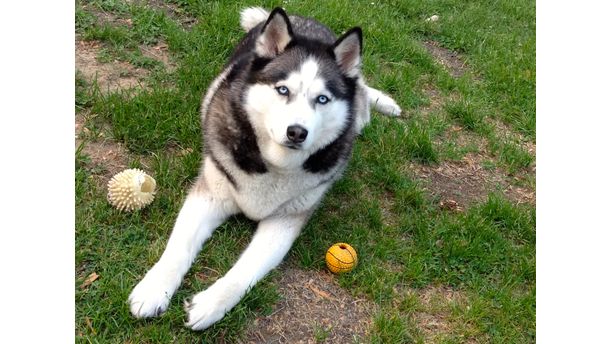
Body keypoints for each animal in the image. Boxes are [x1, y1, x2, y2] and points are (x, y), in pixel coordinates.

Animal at [129, 6, 402, 330]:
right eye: (283, 90)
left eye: (322, 99)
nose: (297, 132)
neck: (275, 164)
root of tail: (304, 18)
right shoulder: (209, 195)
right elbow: (177, 249)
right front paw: (154, 289)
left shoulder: (285, 221)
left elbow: (244, 272)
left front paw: (211, 304)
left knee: (359, 87)